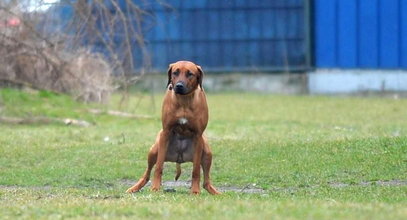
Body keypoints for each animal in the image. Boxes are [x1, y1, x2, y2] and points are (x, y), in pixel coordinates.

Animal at [126, 60, 220, 194]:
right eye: (175, 72)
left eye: (190, 74)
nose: (179, 86)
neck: (184, 100)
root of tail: (179, 158)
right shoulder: (166, 132)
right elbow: (159, 166)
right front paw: (155, 187)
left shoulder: (198, 136)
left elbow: (196, 170)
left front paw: (195, 191)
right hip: (154, 150)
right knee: (147, 174)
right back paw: (135, 188)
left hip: (207, 151)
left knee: (206, 182)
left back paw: (215, 192)